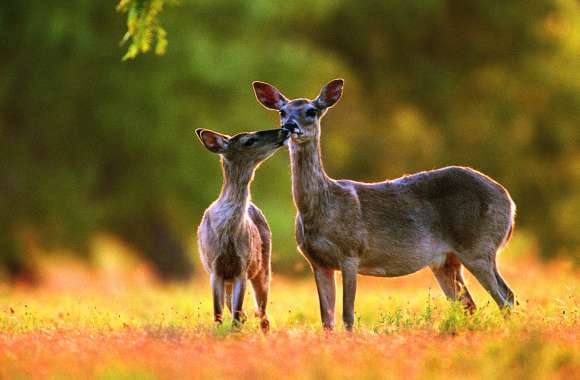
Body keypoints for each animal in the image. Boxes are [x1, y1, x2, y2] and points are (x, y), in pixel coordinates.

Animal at [251, 79, 516, 330]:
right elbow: (327, 320)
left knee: (506, 296)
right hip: (446, 260)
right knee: (469, 304)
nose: (289, 126)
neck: (322, 209)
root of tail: (509, 202)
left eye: (311, 111)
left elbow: (348, 315)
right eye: (282, 111)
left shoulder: (351, 252)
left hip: (479, 246)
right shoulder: (317, 262)